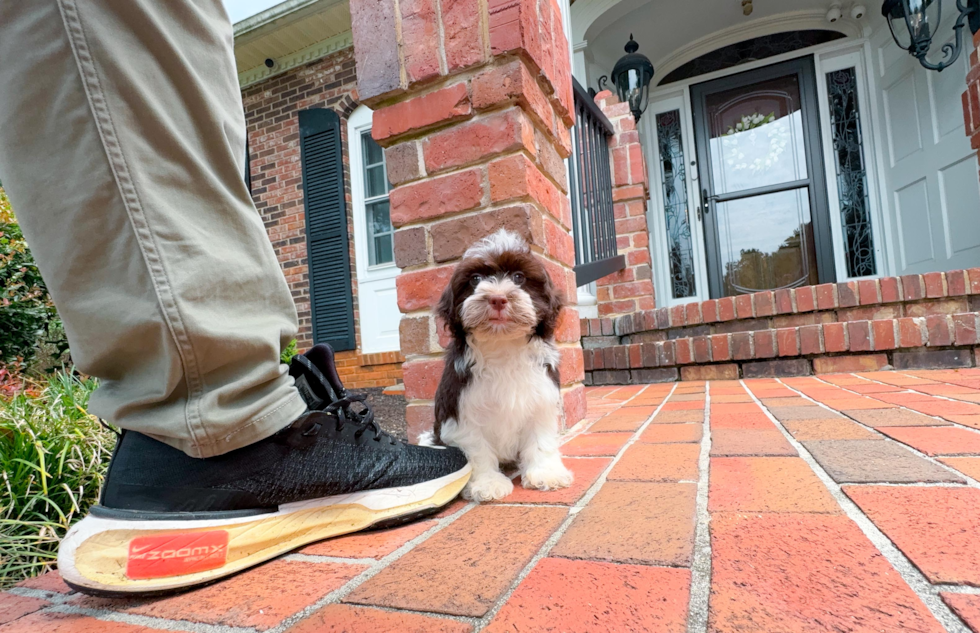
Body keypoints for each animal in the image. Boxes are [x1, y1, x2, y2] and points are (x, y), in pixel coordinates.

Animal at [428, 230, 576, 502]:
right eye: (475, 279)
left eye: (518, 277)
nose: (497, 298)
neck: (503, 346)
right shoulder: (461, 409)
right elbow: (476, 449)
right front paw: (487, 483)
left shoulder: (541, 399)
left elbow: (541, 439)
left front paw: (545, 473)